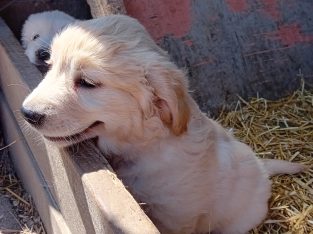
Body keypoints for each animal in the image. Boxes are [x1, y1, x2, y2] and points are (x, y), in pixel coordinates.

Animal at [22, 15, 304, 233]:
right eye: (50, 66)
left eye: (88, 83)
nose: (27, 113)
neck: (143, 146)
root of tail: (262, 167)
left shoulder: (177, 218)